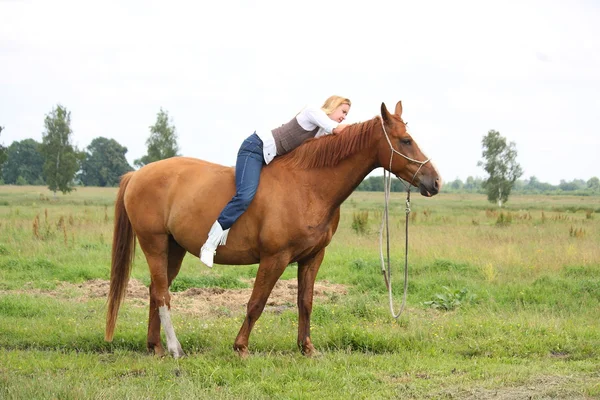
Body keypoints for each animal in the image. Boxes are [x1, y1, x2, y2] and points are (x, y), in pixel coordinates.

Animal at [104, 101, 440, 358]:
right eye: (405, 140)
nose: (435, 181)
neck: (308, 186)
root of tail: (136, 175)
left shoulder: (312, 257)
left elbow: (305, 302)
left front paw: (307, 348)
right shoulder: (274, 258)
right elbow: (257, 302)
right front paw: (240, 347)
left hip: (173, 249)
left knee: (155, 291)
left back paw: (156, 346)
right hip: (154, 244)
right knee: (162, 293)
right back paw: (174, 348)